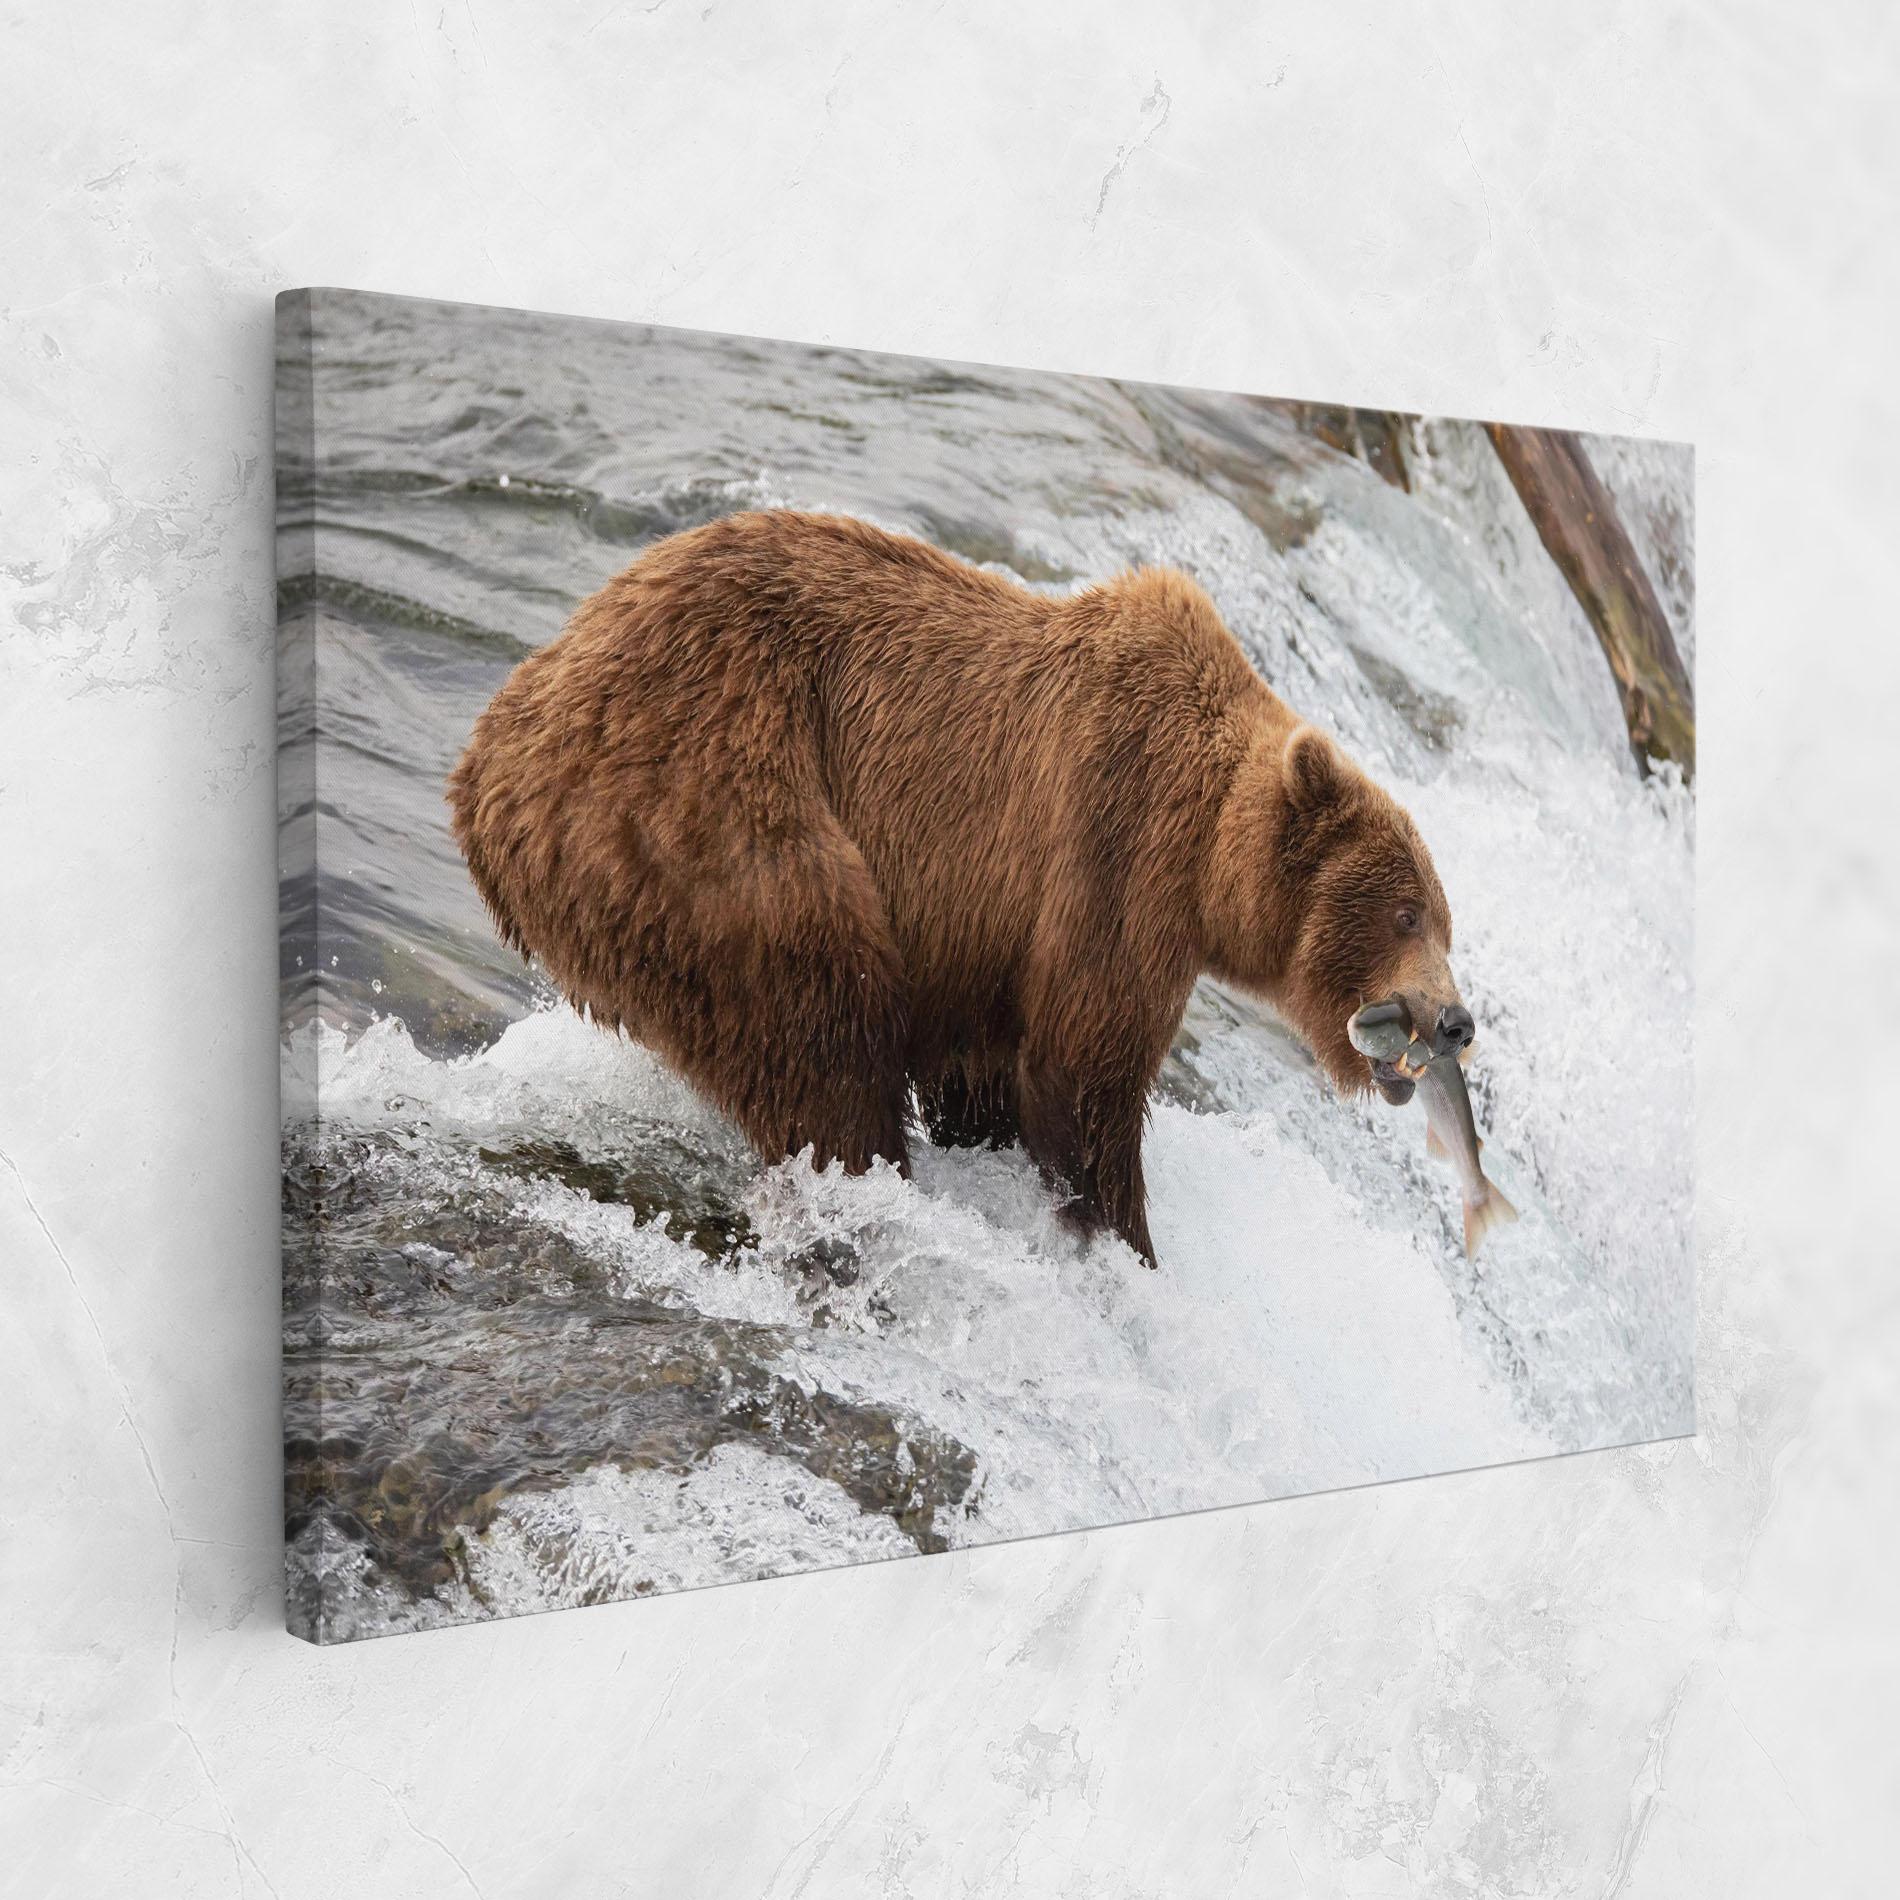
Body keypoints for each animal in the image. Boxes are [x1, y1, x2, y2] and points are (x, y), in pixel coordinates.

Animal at [448, 510, 1470, 1268]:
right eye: (1405, 912)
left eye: (1446, 923)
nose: (1456, 1021)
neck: (1209, 855)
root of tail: (491, 749)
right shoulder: (1113, 849)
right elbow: (1083, 1071)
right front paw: (1125, 1240)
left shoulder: (987, 937)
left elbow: (988, 1073)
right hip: (705, 798)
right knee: (822, 1014)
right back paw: (865, 1182)